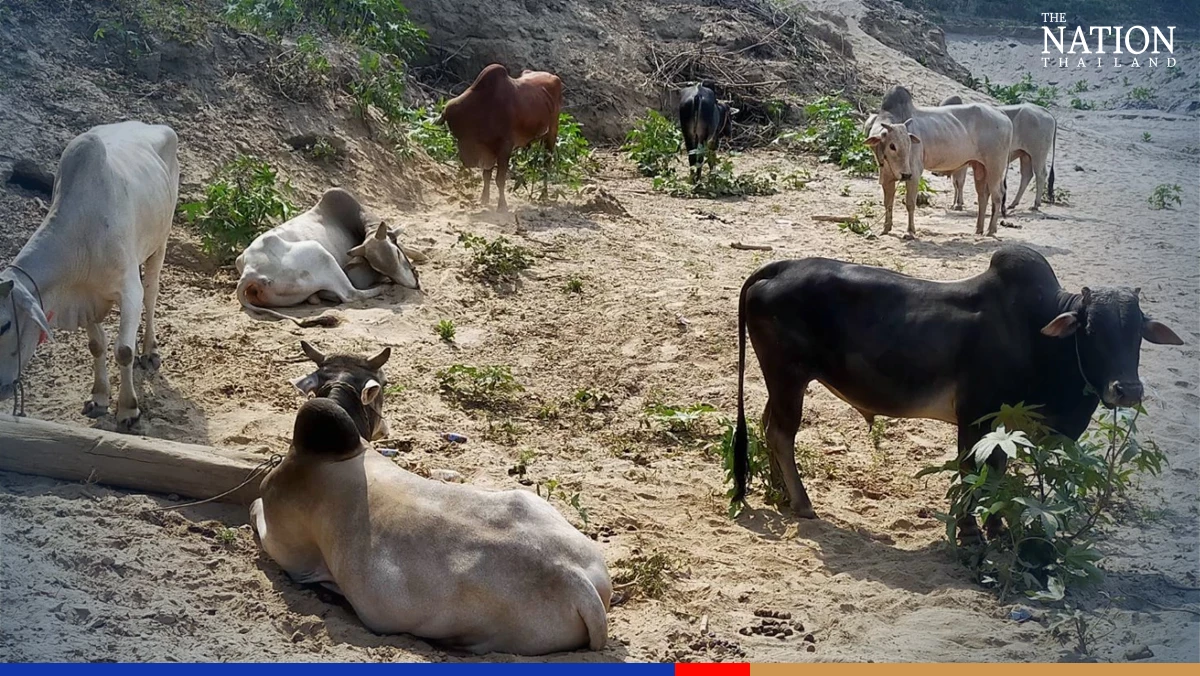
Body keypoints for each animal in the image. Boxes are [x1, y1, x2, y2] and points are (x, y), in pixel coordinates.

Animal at [0, 121, 179, 429]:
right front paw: (99, 398)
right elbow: (97, 345)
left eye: (4, 325)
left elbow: (123, 351)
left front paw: (128, 409)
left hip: (161, 240)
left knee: (152, 294)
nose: (0, 388)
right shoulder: (84, 298)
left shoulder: (128, 290)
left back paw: (149, 350)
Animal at [235, 188, 420, 327]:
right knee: (350, 294)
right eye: (377, 266)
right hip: (320, 253)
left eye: (397, 254)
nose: (414, 285)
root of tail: (250, 272)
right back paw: (381, 289)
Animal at [438, 64, 564, 213]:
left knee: (546, 164)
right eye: (455, 132)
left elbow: (500, 179)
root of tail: (554, 77)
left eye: (466, 128)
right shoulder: (488, 151)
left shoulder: (505, 147)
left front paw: (502, 205)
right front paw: (484, 199)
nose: (466, 160)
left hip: (551, 134)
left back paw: (543, 195)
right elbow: (486, 176)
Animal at [731, 245, 1183, 540]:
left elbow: (999, 473)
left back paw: (779, 493)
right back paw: (801, 502)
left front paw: (996, 527)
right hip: (788, 376)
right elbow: (972, 473)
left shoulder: (1007, 425)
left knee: (768, 424)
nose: (1127, 390)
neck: (1037, 337)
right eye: (1090, 330)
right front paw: (968, 531)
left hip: (782, 381)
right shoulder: (975, 416)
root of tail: (779, 267)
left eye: (1138, 332)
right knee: (782, 433)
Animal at [867, 86, 1012, 237]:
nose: (905, 175)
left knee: (997, 196)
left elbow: (910, 203)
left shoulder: (914, 174)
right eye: (892, 146)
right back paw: (979, 229)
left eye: (909, 144)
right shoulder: (887, 176)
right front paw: (886, 228)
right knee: (982, 196)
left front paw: (910, 232)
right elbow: (888, 203)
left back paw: (991, 230)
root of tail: (1002, 114)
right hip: (980, 167)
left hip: (995, 168)